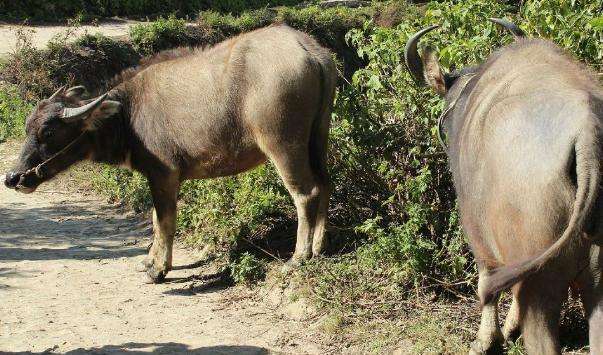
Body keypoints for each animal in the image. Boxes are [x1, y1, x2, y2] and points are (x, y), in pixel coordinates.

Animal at [3, 25, 336, 284]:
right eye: (27, 127)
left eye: (48, 132)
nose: (12, 177)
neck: (129, 113)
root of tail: (310, 51)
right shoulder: (164, 177)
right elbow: (155, 218)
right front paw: (149, 261)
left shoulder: (163, 173)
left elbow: (164, 220)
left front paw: (159, 268)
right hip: (318, 139)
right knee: (325, 183)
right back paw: (319, 247)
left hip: (283, 145)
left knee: (306, 192)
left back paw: (299, 256)